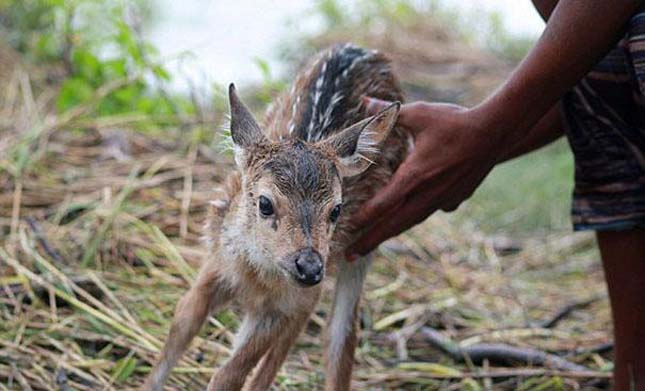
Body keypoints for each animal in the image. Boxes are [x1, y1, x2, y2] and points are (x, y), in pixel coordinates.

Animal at [145, 44, 408, 390]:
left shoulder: (281, 304)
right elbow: (178, 329)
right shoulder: (216, 264)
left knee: (338, 334)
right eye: (265, 203)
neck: (257, 273)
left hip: (363, 244)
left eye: (336, 209)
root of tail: (367, 51)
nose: (309, 266)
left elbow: (228, 374)